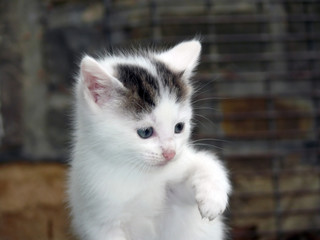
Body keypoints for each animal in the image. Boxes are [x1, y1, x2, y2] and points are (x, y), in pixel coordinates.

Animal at [68, 39, 230, 240]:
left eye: (179, 127)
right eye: (145, 132)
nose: (170, 153)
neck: (140, 173)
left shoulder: (177, 183)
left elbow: (206, 163)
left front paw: (212, 198)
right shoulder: (101, 220)